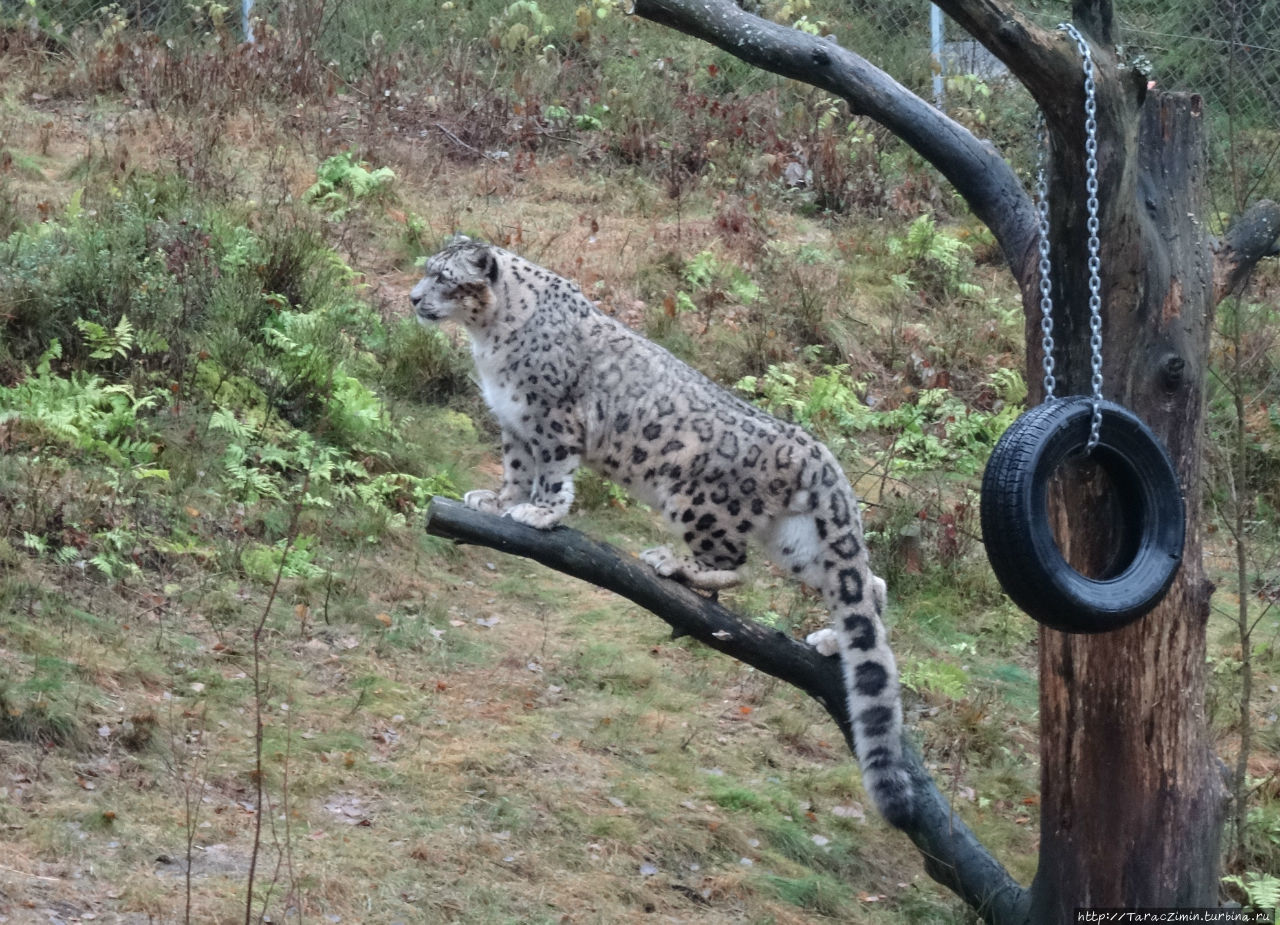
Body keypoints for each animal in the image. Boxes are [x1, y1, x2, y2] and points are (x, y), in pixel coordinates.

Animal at [409, 239, 911, 823]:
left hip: (701, 505)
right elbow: (514, 468)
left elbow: (552, 473)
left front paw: (540, 513)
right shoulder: (515, 424)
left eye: (445, 277)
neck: (487, 339)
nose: (413, 297)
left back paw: (674, 564)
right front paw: (497, 500)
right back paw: (832, 640)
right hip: (798, 541)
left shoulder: (553, 420)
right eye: (427, 271)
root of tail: (818, 452)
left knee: (734, 565)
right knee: (866, 585)